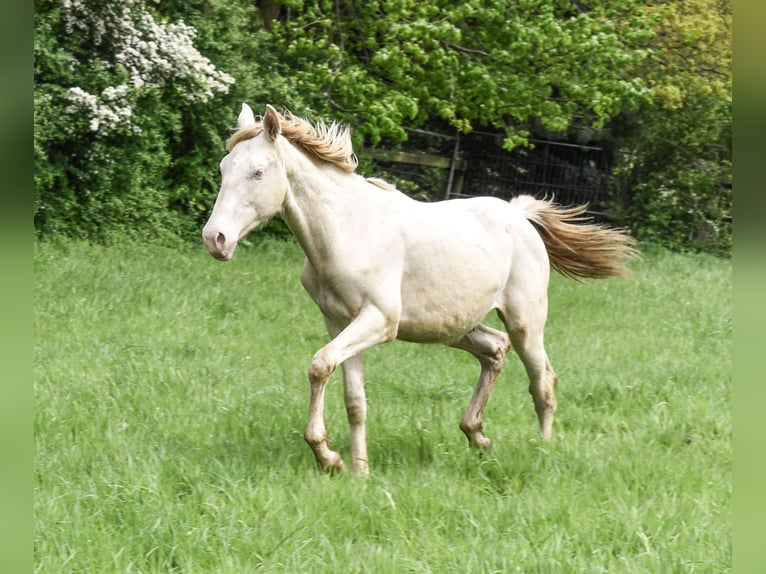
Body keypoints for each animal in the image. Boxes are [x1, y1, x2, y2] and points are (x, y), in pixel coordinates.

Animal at [201, 104, 640, 482]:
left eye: (258, 172)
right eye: (224, 168)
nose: (215, 239)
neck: (348, 229)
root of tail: (520, 214)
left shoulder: (379, 321)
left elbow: (320, 365)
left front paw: (328, 457)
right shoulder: (339, 323)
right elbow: (354, 399)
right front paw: (358, 470)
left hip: (525, 323)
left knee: (542, 381)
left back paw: (542, 452)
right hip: (455, 327)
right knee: (495, 350)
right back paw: (478, 436)